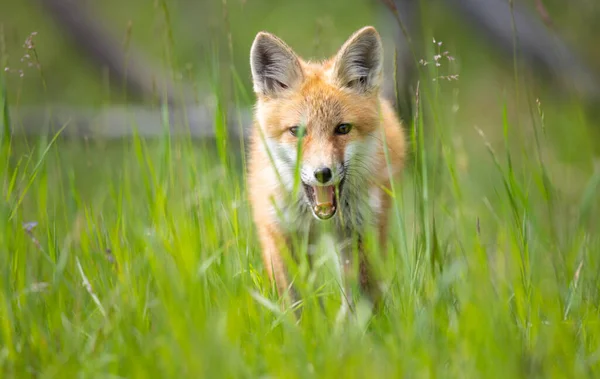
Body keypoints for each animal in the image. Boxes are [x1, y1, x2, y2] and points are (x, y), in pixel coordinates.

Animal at [246, 24, 406, 314]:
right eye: (296, 131)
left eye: (342, 128)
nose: (323, 173)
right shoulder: (282, 232)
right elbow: (296, 301)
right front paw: (305, 326)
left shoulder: (360, 232)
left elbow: (360, 300)